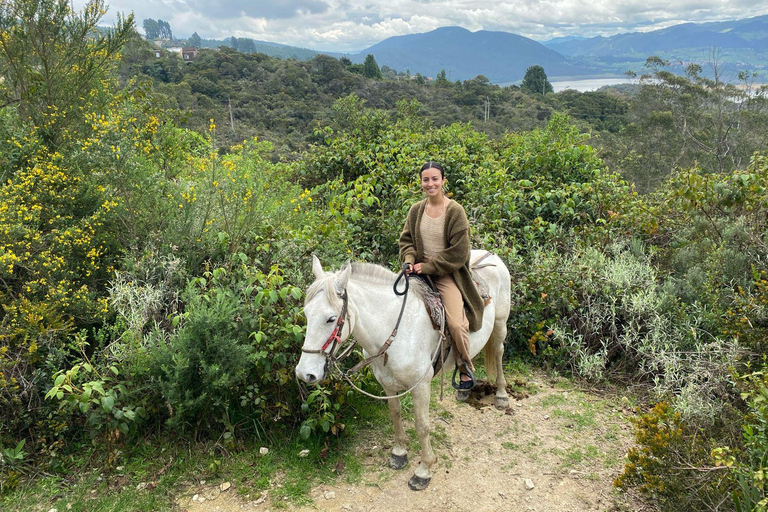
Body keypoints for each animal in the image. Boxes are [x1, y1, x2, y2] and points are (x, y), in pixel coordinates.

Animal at [296, 250, 512, 490]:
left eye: (331, 318)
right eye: (306, 313)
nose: (304, 373)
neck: (396, 331)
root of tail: (489, 255)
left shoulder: (421, 387)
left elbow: (422, 425)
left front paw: (424, 469)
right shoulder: (387, 384)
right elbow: (395, 414)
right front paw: (399, 452)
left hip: (500, 325)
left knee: (499, 352)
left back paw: (501, 396)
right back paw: (464, 388)